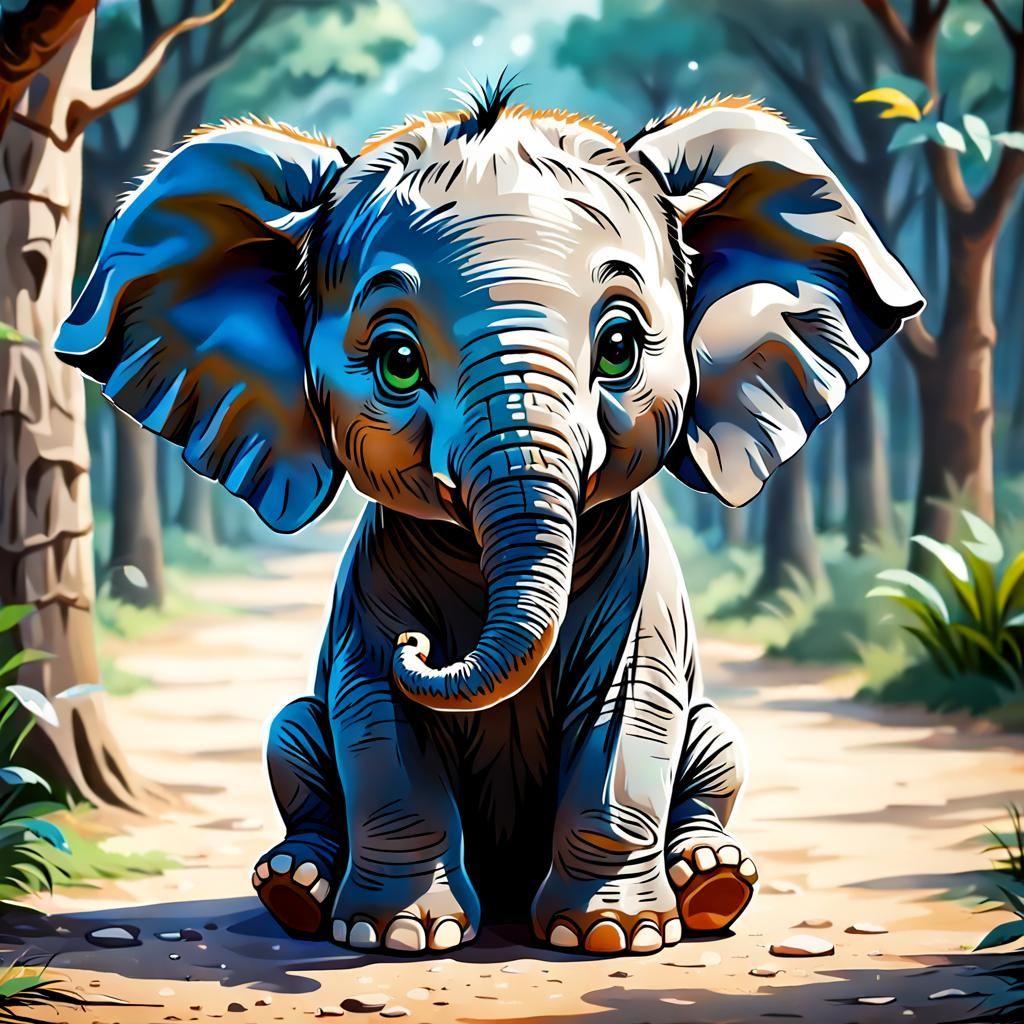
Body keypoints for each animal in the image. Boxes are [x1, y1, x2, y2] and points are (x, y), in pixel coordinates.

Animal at [55, 81, 923, 957]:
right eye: (399, 361)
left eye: (619, 346)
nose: (421, 645)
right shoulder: (370, 589)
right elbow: (377, 716)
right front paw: (397, 936)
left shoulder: (643, 586)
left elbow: (629, 714)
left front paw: (614, 936)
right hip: (296, 733)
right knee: (293, 734)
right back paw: (297, 890)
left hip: (713, 735)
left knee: (718, 747)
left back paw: (712, 882)